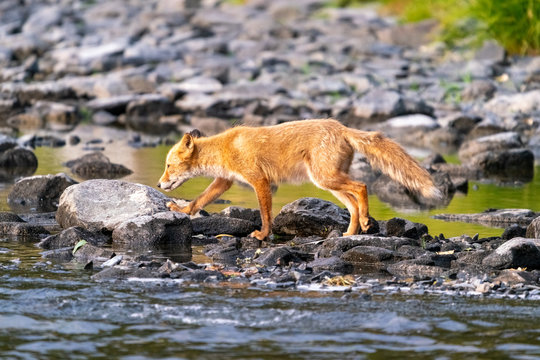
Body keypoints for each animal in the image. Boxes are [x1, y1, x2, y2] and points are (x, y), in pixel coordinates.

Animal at [157, 119, 442, 240]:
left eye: (168, 166)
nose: (159, 184)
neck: (225, 148)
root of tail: (341, 126)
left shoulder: (260, 180)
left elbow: (265, 214)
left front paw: (263, 235)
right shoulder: (224, 181)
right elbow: (199, 201)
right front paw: (182, 209)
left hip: (326, 179)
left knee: (361, 186)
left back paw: (364, 221)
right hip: (326, 182)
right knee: (352, 204)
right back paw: (351, 233)